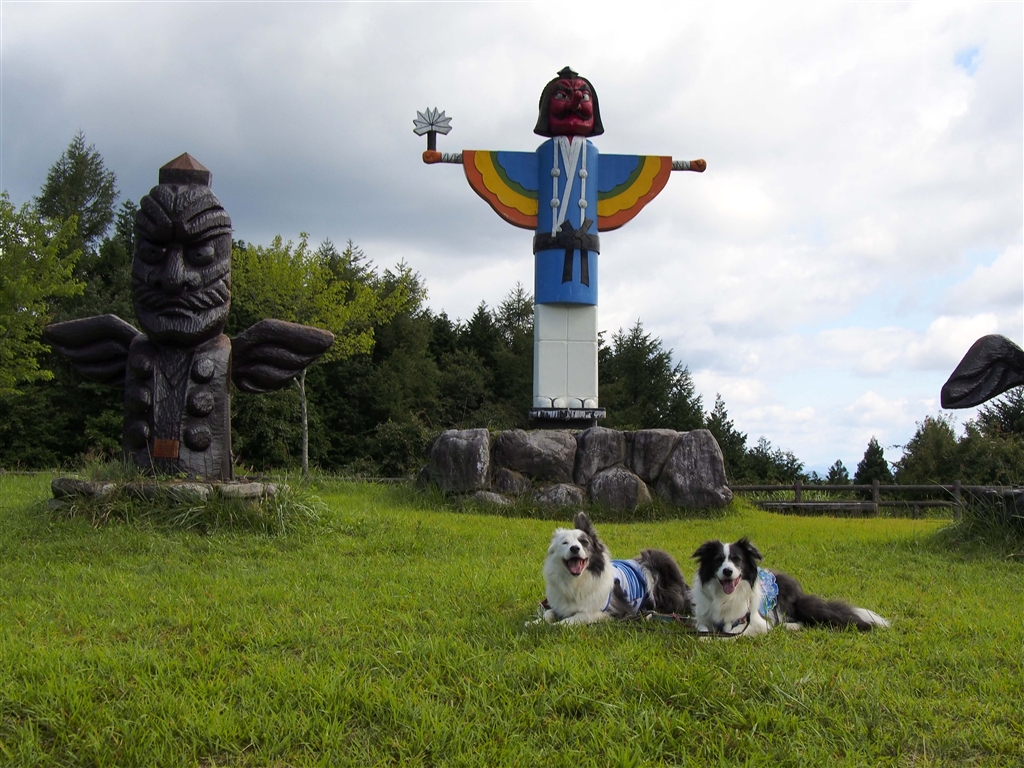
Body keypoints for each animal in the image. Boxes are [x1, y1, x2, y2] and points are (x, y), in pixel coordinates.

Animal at [529, 511, 692, 625]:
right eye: (565, 543)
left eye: (584, 542)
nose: (575, 548)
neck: (576, 582)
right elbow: (548, 612)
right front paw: (536, 622)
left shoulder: (616, 611)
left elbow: (580, 616)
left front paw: (558, 625)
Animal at [691, 537, 890, 637]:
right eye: (718, 560)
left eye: (737, 560)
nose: (727, 571)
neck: (724, 596)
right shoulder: (704, 617)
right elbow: (702, 628)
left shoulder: (758, 622)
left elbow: (732, 630)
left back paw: (791, 626)